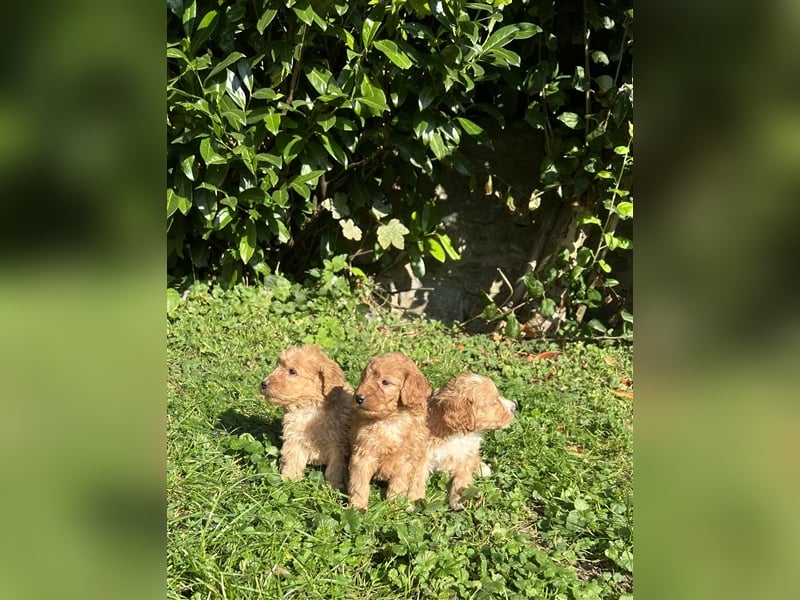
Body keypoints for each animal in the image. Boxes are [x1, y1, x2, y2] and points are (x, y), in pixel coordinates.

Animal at [260, 344, 352, 490]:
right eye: (278, 366)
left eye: (292, 371)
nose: (263, 384)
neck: (310, 408)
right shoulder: (294, 438)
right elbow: (292, 460)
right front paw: (289, 481)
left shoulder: (338, 444)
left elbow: (335, 468)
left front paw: (333, 487)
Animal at [348, 352, 434, 510]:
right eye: (364, 379)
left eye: (385, 382)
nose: (358, 397)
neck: (391, 419)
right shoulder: (364, 453)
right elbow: (359, 482)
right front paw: (357, 507)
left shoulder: (406, 459)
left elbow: (399, 484)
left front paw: (394, 506)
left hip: (422, 458)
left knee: (418, 480)